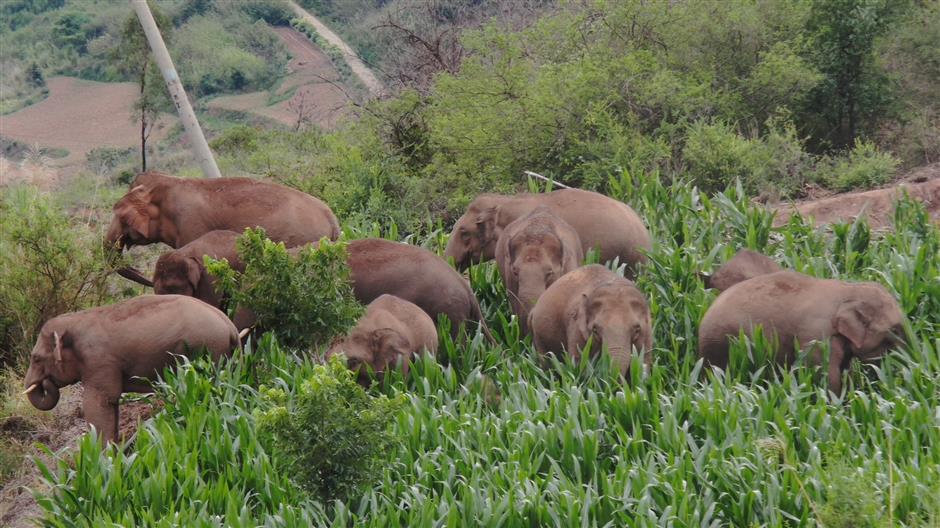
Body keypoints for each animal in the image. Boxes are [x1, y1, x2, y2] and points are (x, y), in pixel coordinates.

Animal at [23, 294, 239, 444]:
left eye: (36, 358)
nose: (45, 383)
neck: (76, 319)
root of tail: (230, 327)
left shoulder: (99, 362)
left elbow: (98, 404)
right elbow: (111, 404)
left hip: (207, 351)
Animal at [696, 272, 904, 392]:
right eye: (894, 330)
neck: (849, 290)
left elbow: (844, 369)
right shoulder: (816, 337)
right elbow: (826, 373)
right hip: (720, 343)